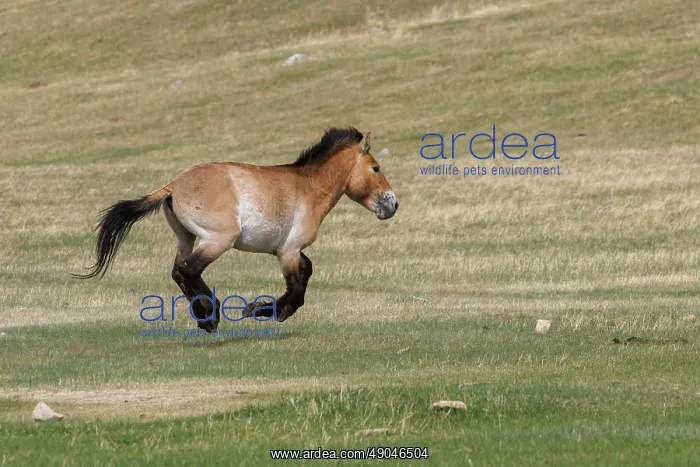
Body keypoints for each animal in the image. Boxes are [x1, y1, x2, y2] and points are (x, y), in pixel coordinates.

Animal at [73, 127, 398, 332]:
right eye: (376, 168)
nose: (392, 204)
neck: (308, 187)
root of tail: (172, 186)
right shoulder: (289, 251)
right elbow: (296, 290)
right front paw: (260, 310)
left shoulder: (286, 250)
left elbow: (305, 276)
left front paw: (266, 309)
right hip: (219, 239)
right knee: (189, 270)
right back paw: (211, 315)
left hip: (186, 237)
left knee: (178, 271)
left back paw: (203, 316)